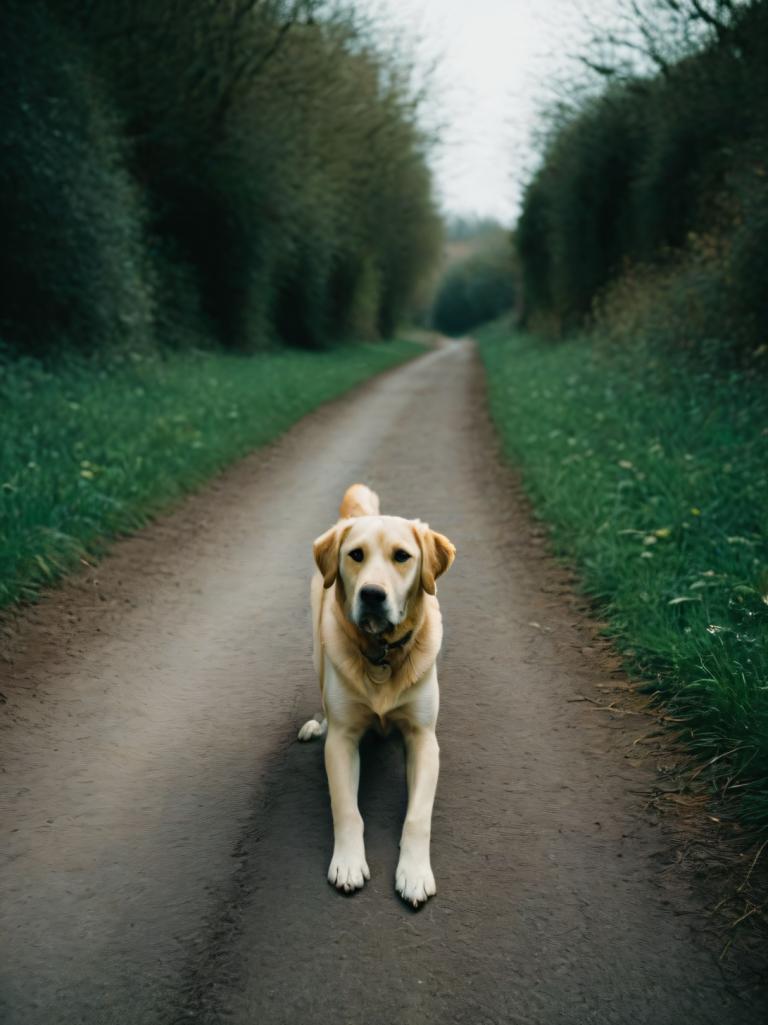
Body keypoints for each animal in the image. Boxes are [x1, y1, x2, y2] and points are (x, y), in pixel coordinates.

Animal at [297, 481, 455, 906]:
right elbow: (346, 809)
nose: (371, 594)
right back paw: (315, 724)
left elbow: (418, 815)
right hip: (318, 651)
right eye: (356, 555)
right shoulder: (342, 741)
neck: (382, 654)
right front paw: (348, 863)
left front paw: (414, 873)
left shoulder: (423, 740)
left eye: (402, 556)